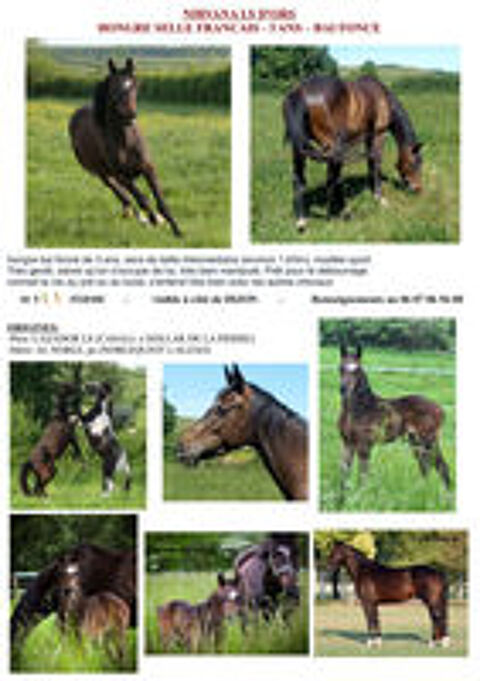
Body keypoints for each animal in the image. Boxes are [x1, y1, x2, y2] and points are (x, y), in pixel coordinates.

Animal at [69, 58, 181, 237]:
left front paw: (177, 230)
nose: (130, 115)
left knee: (123, 193)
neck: (125, 141)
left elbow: (160, 200)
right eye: (114, 87)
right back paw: (138, 216)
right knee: (118, 191)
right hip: (100, 172)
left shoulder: (148, 168)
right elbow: (142, 198)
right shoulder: (121, 174)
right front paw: (154, 220)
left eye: (134, 86)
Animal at [283, 75, 423, 228]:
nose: (418, 188)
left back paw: (302, 220)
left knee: (300, 178)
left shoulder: (368, 138)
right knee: (333, 178)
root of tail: (300, 93)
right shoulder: (379, 135)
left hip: (300, 148)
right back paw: (342, 212)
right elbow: (376, 164)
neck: (384, 98)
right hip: (333, 147)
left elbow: (370, 163)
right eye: (415, 164)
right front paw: (379, 197)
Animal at [338, 344, 450, 500]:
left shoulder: (364, 445)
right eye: (341, 368)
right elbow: (344, 474)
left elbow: (363, 475)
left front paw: (360, 497)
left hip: (429, 441)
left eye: (357, 370)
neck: (361, 408)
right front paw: (340, 500)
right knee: (425, 467)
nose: (343, 389)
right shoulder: (347, 443)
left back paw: (445, 497)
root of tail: (440, 409)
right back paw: (421, 492)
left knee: (441, 467)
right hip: (416, 442)